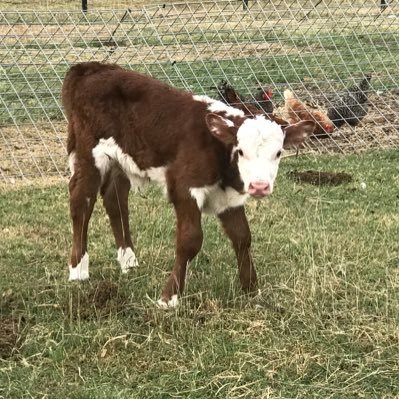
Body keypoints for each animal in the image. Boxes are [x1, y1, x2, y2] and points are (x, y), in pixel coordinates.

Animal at [62, 61, 318, 310]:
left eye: (278, 153)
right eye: (241, 151)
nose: (259, 186)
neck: (217, 148)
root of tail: (91, 68)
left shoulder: (228, 196)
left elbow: (242, 236)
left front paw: (251, 289)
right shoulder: (185, 187)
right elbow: (190, 240)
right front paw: (169, 297)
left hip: (121, 160)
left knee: (115, 198)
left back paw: (129, 260)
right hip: (89, 152)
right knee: (81, 200)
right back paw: (78, 269)